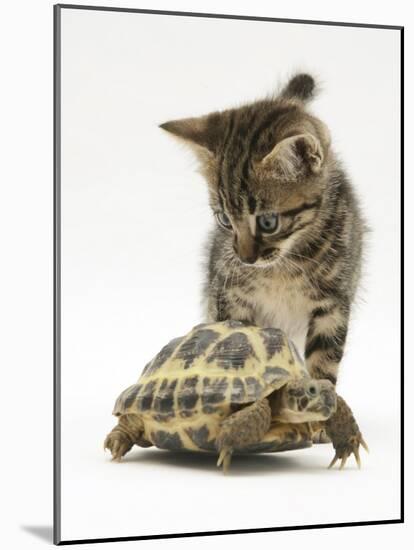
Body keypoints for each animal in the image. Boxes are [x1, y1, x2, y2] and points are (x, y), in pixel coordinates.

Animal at [160, 74, 364, 388]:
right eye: (224, 219)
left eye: (268, 223)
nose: (245, 259)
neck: (283, 268)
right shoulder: (228, 295)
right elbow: (235, 339)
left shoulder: (334, 303)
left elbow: (324, 360)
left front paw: (322, 395)